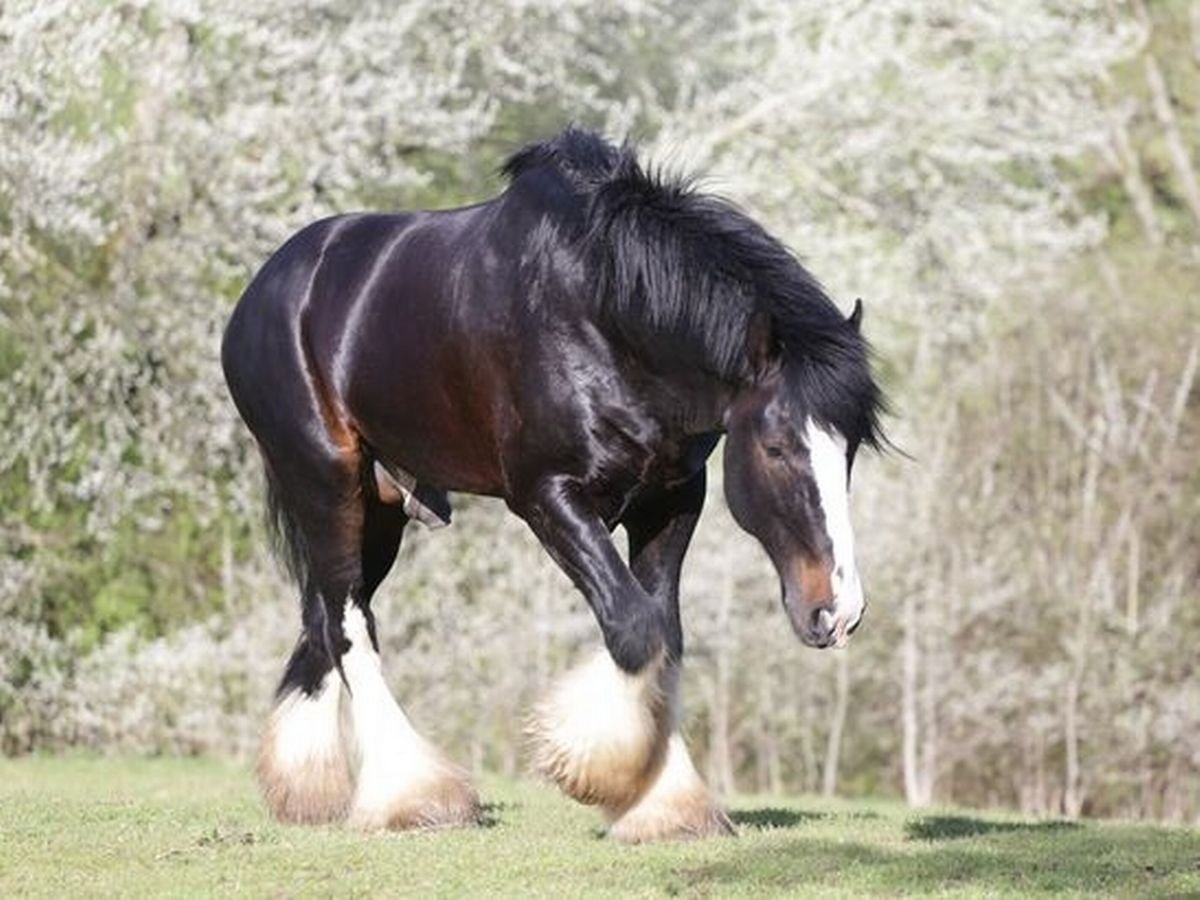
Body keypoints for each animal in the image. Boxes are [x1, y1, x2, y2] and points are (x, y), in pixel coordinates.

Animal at [221, 127, 885, 842]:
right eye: (776, 446)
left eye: (849, 451)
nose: (836, 610)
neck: (604, 319)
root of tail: (263, 292)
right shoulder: (548, 496)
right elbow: (635, 628)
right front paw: (605, 772)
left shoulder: (672, 499)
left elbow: (665, 634)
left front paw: (665, 803)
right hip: (325, 477)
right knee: (347, 624)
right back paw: (413, 795)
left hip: (382, 505)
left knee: (326, 615)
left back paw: (307, 787)